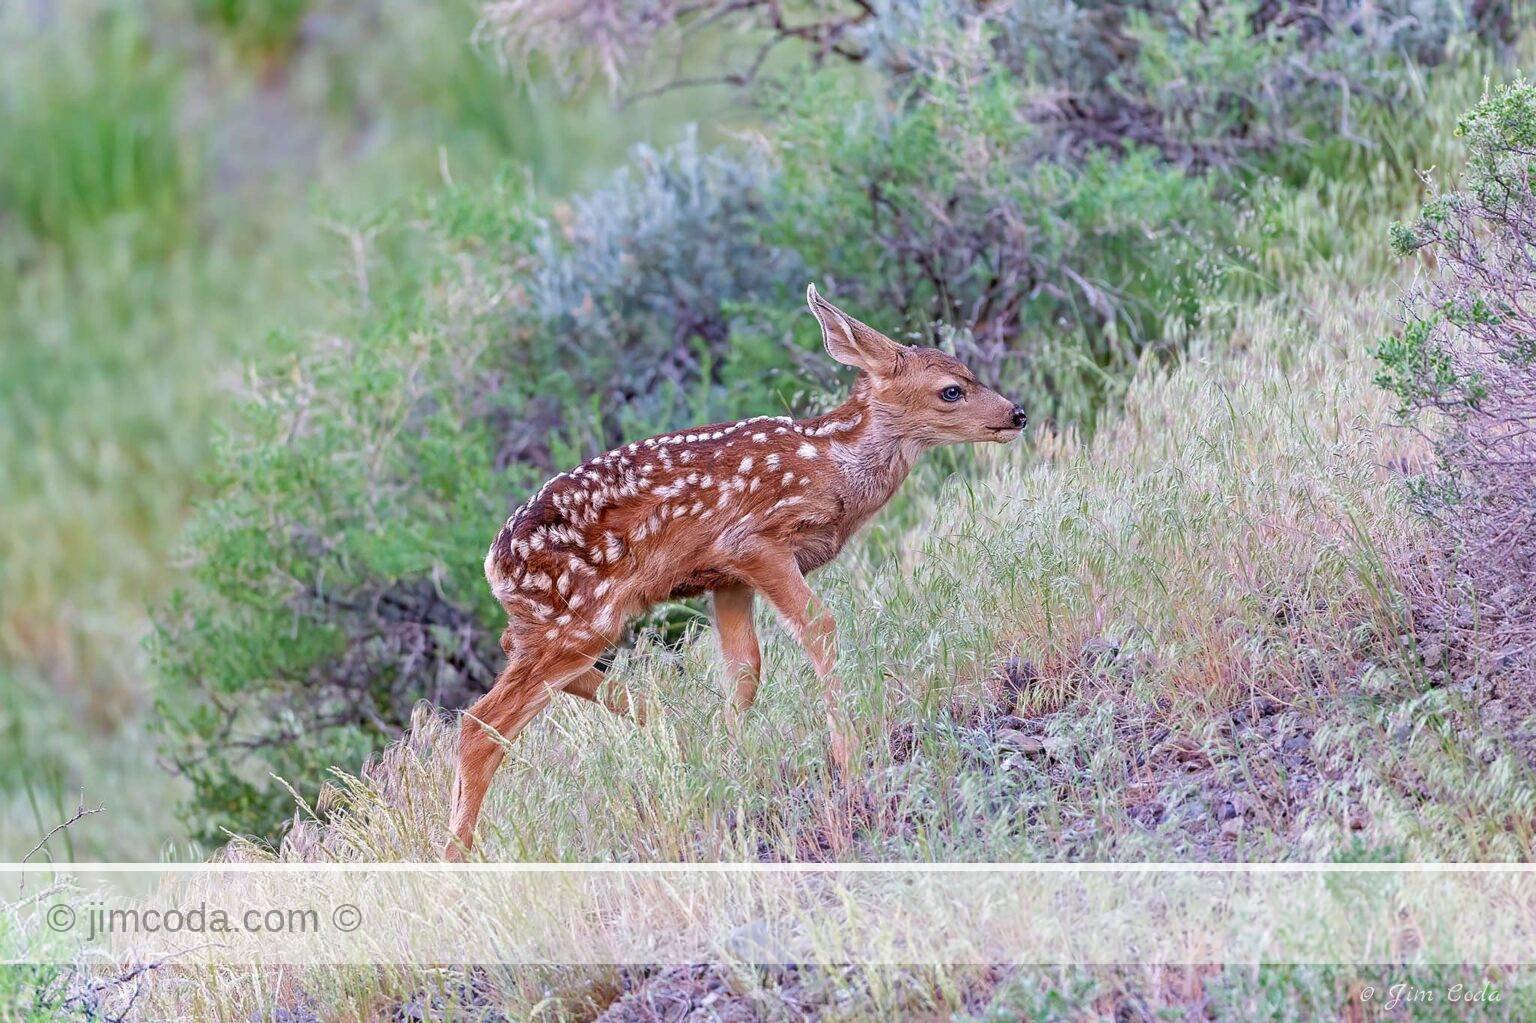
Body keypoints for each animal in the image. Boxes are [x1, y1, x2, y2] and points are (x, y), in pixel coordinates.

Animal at [443, 285, 1027, 859]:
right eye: (952, 390)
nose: (1017, 414)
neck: (834, 465)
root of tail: (494, 564)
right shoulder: (753, 541)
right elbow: (819, 627)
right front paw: (848, 753)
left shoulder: (726, 578)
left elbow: (745, 669)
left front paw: (732, 757)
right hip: (581, 615)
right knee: (480, 722)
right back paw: (456, 854)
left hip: (564, 623)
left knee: (517, 664)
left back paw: (677, 729)